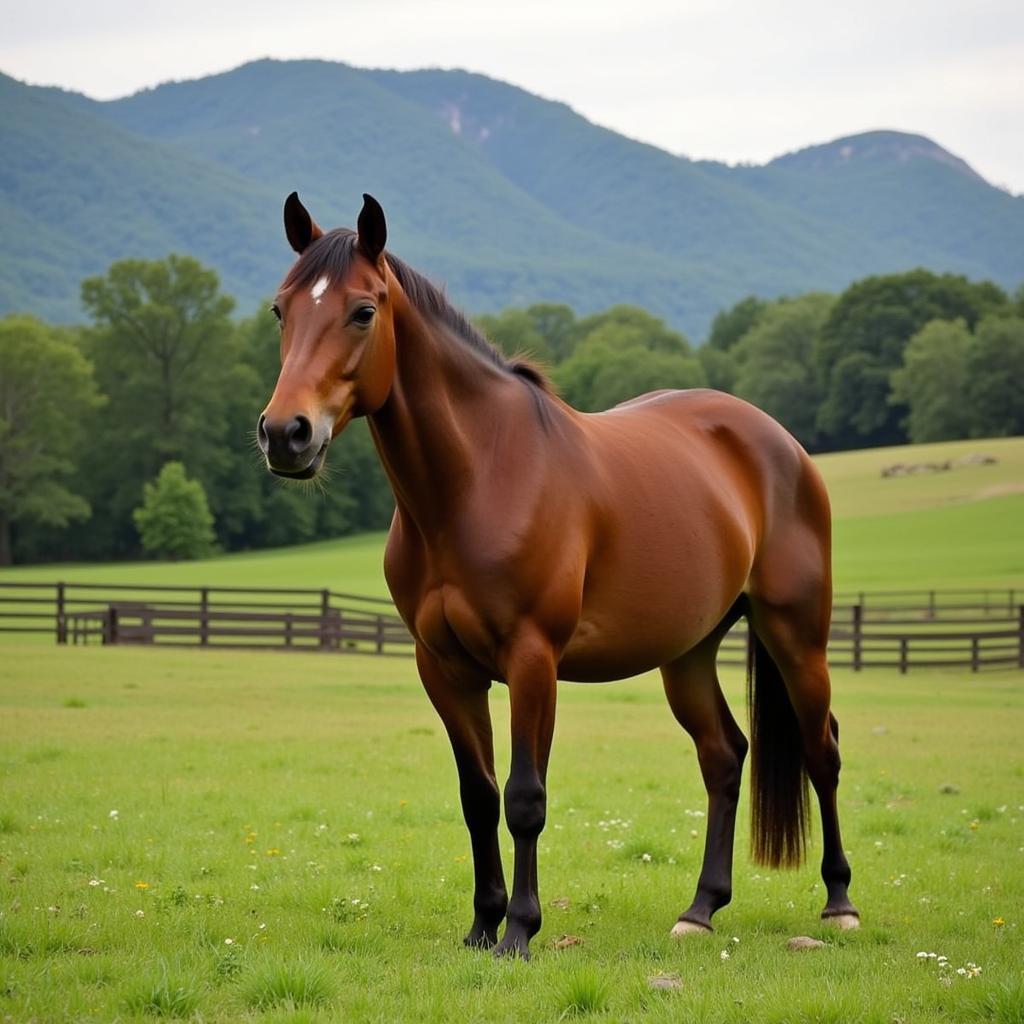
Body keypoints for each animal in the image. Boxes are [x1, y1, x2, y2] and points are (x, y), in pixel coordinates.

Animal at [260, 192, 860, 958]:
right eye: (282, 310)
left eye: (363, 310)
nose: (286, 434)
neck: (477, 479)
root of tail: (778, 441)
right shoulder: (444, 669)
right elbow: (478, 796)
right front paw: (481, 925)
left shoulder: (531, 659)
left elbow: (524, 797)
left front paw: (520, 929)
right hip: (688, 652)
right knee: (724, 756)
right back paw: (700, 909)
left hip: (796, 636)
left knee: (822, 751)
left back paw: (839, 903)